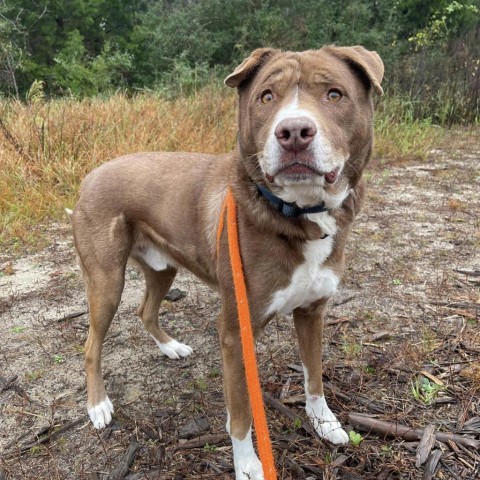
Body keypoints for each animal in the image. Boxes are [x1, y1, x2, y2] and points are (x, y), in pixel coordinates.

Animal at [71, 46, 382, 480]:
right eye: (266, 97)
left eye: (335, 94)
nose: (294, 132)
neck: (297, 214)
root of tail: (90, 175)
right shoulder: (236, 334)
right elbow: (241, 414)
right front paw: (248, 464)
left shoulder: (312, 312)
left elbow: (314, 376)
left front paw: (325, 423)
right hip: (106, 281)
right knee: (91, 344)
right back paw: (98, 406)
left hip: (163, 267)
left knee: (146, 310)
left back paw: (170, 348)